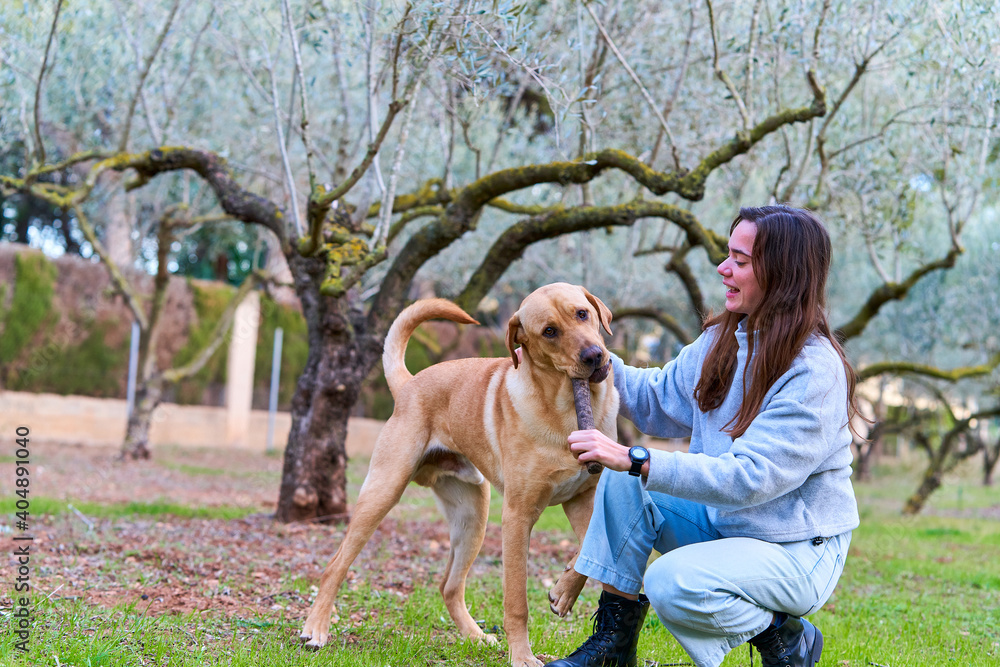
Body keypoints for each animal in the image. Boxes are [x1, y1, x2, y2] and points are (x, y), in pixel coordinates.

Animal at [298, 284, 616, 667]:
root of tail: (409, 384)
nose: (594, 356)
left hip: (472, 516)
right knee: (334, 566)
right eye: (549, 331)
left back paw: (476, 636)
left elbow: (590, 553)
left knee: (448, 586)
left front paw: (563, 592)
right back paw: (315, 629)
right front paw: (522, 656)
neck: (565, 407)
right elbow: (517, 602)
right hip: (382, 494)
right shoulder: (518, 516)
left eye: (582, 313)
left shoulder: (584, 500)